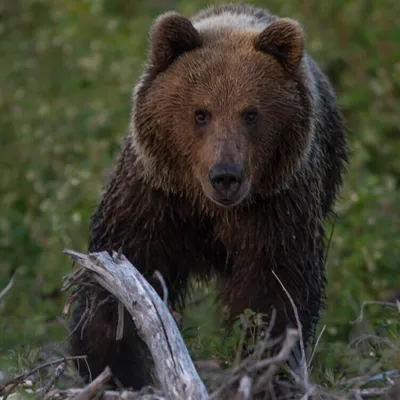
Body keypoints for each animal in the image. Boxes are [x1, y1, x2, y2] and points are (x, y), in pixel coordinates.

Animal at [68, 2, 346, 390]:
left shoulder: (276, 208)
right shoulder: (155, 197)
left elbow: (276, 289)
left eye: (251, 113)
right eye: (201, 113)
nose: (225, 176)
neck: (207, 208)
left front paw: (262, 368)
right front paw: (114, 366)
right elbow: (119, 275)